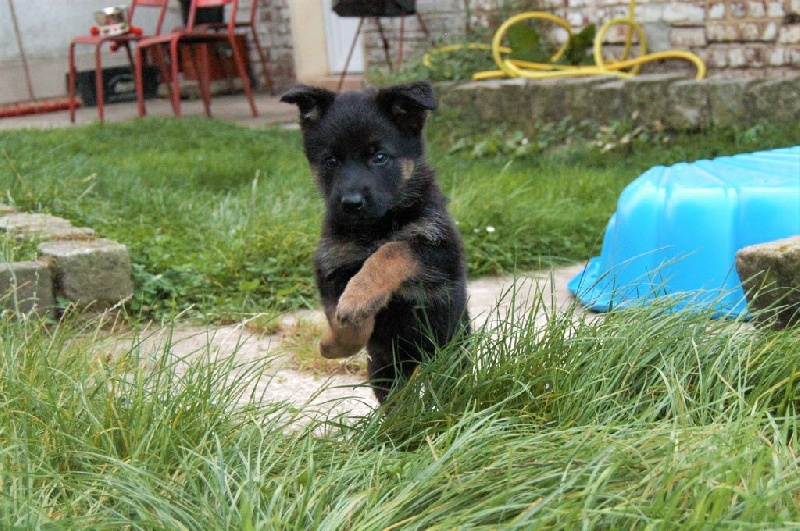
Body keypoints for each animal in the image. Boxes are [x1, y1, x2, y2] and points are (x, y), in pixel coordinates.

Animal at [281, 81, 470, 404]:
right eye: (331, 160)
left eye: (379, 157)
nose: (351, 203)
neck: (375, 227)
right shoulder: (332, 268)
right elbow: (344, 320)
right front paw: (337, 340)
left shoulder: (440, 252)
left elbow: (392, 250)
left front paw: (359, 297)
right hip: (385, 369)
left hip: (453, 351)